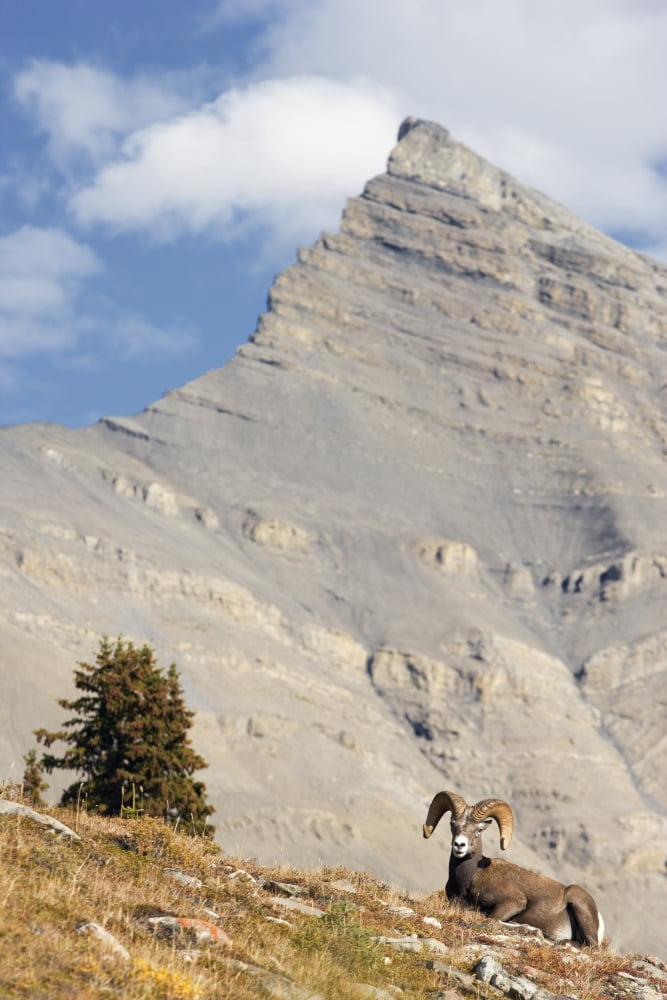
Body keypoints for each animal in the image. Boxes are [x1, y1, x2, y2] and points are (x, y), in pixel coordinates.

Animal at [423, 790, 605, 946]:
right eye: (453, 824)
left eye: (479, 829)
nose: (459, 845)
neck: (470, 879)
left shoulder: (514, 902)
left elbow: (491, 919)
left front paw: (532, 930)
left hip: (577, 900)